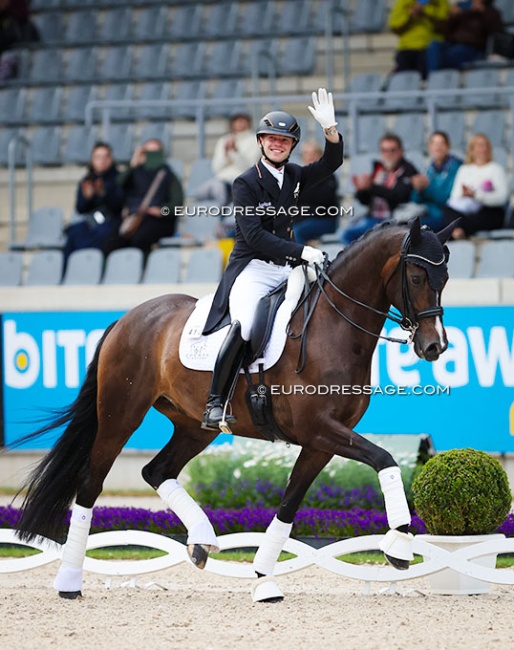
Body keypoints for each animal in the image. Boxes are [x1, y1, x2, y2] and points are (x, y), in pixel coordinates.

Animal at [12, 215, 454, 600]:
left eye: (445, 278)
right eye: (417, 277)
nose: (434, 346)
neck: (333, 326)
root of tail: (128, 318)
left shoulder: (320, 443)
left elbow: (288, 506)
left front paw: (264, 580)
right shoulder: (320, 430)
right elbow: (385, 460)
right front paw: (398, 545)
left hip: (193, 426)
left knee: (156, 471)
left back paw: (201, 541)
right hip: (120, 415)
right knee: (91, 484)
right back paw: (69, 581)